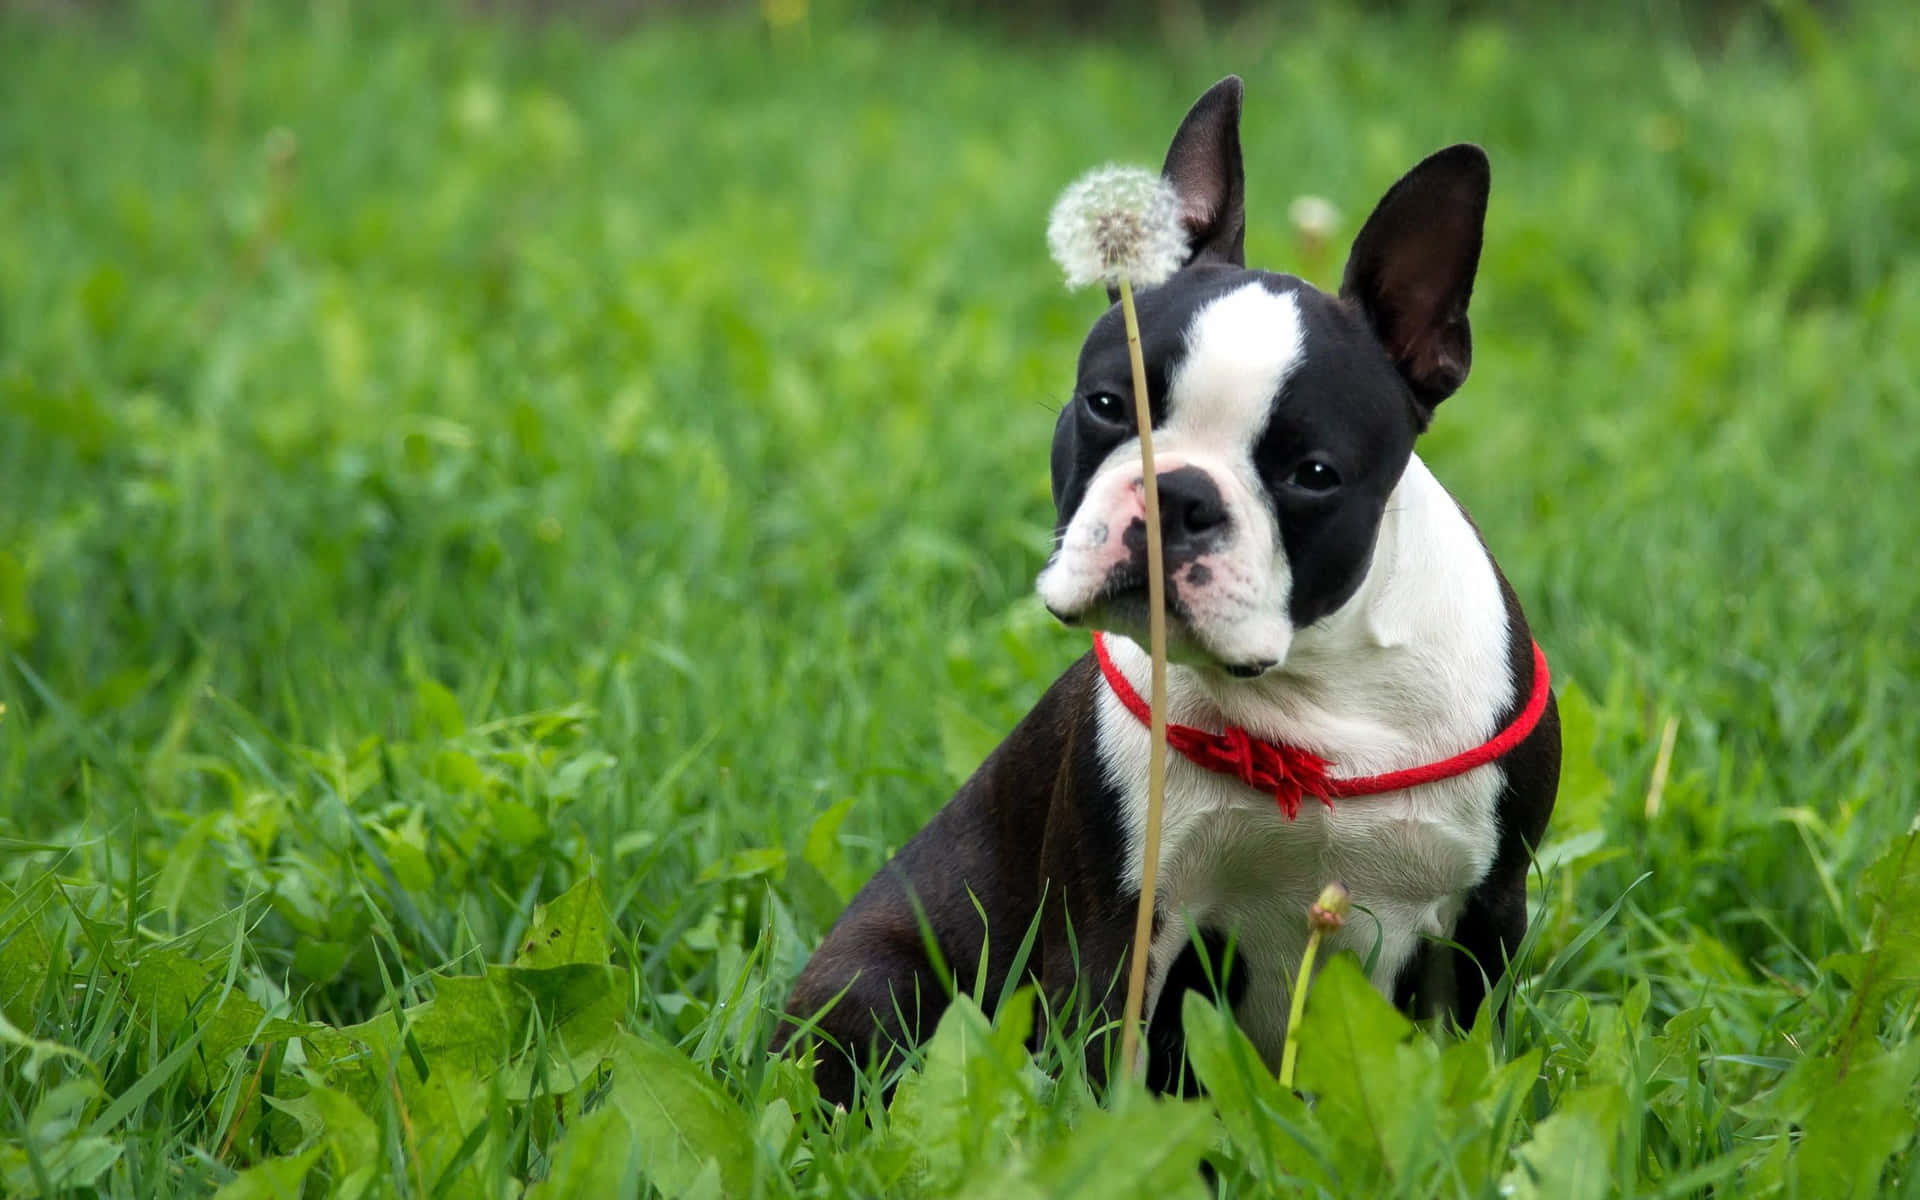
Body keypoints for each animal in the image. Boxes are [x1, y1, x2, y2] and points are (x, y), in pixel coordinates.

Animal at [775, 74, 1559, 1105]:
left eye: (1312, 474)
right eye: (1109, 405)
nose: (1176, 491)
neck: (1311, 694)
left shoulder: (1479, 924)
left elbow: (1467, 1072)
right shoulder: (1120, 923)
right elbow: (1107, 1075)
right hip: (879, 976)